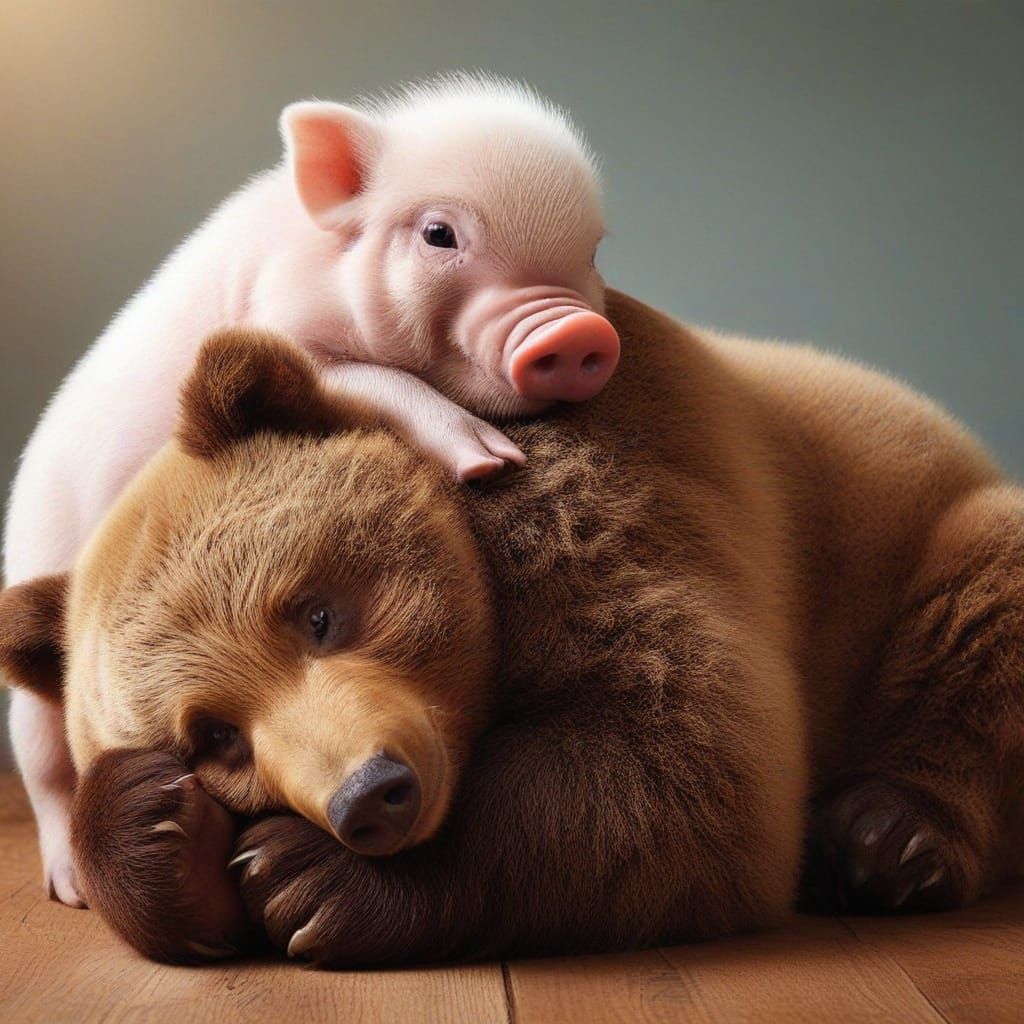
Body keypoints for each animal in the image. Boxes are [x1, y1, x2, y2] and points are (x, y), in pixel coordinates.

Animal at [1, 289, 1023, 966]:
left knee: (977, 607)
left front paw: (302, 880)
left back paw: (888, 836)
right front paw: (160, 833)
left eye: (318, 612)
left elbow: (691, 762)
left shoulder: (607, 504)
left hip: (927, 545)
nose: (371, 795)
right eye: (214, 737)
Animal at [2, 73, 619, 908]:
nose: (576, 334)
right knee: (43, 766)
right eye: (439, 235)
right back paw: (69, 891)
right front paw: (488, 462)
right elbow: (379, 380)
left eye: (591, 252)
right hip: (37, 677)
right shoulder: (287, 332)